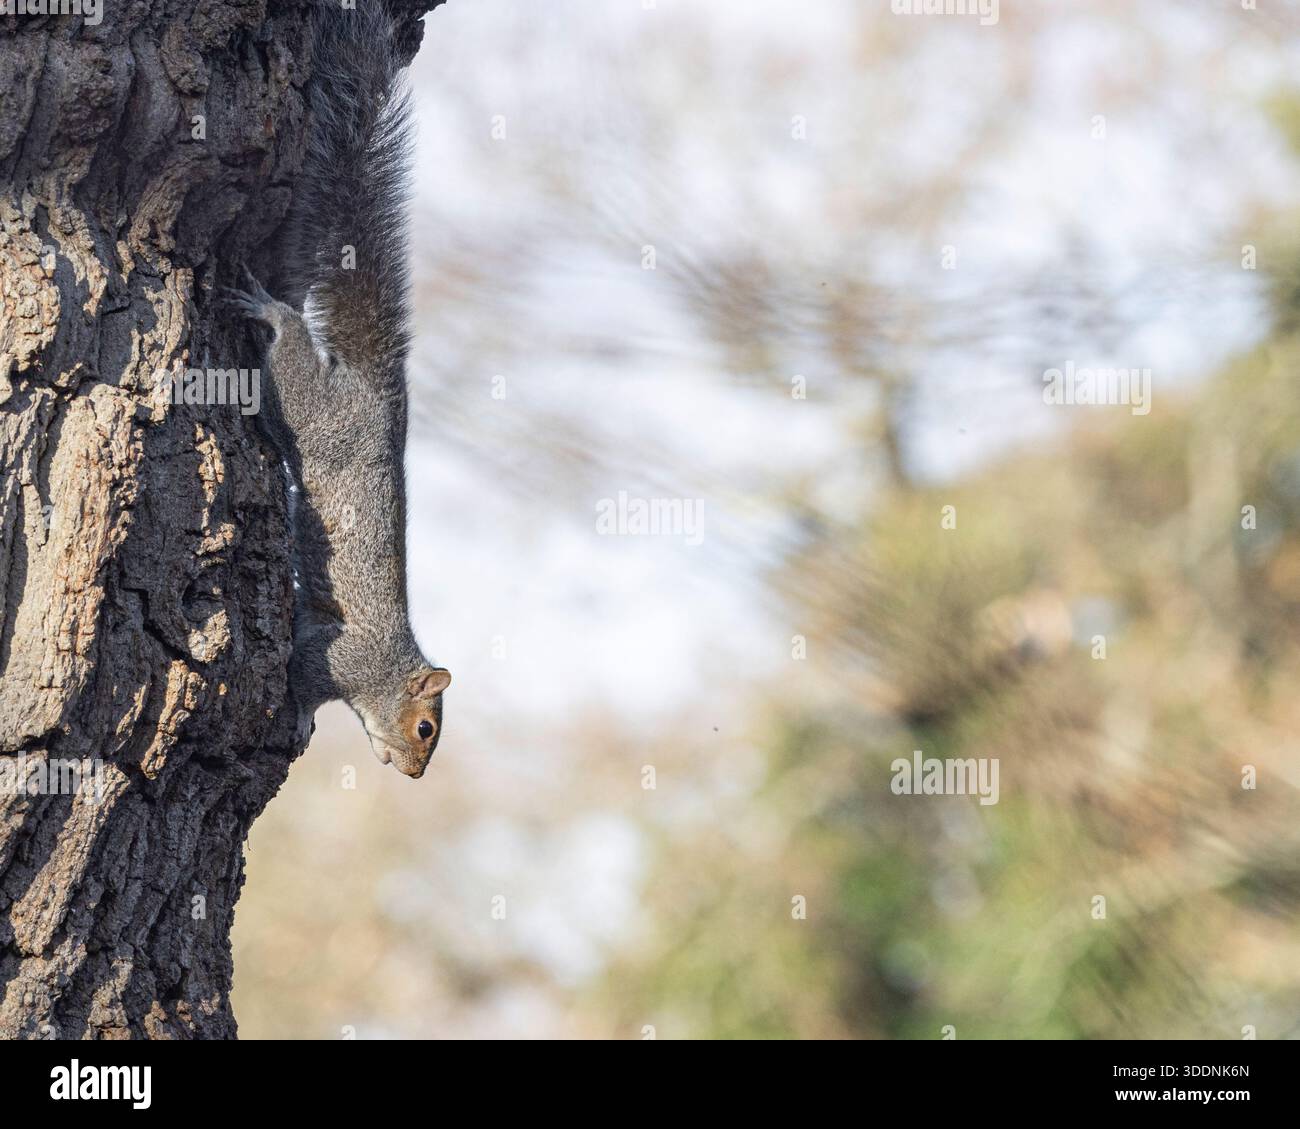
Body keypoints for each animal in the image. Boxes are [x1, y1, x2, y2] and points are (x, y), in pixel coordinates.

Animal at [228, 0, 451, 778]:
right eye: (425, 728)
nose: (412, 774)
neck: (385, 671)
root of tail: (378, 401)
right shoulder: (336, 658)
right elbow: (299, 676)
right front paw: (296, 718)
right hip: (312, 411)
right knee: (291, 350)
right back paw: (272, 312)